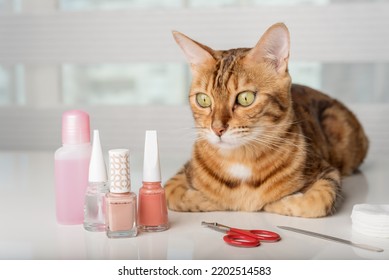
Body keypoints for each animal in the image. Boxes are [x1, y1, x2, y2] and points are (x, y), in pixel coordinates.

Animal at [163, 23, 366, 218]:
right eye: (203, 100)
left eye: (245, 98)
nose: (217, 129)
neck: (240, 160)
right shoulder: (183, 171)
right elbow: (171, 193)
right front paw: (212, 200)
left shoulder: (327, 171)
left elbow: (317, 201)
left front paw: (277, 203)